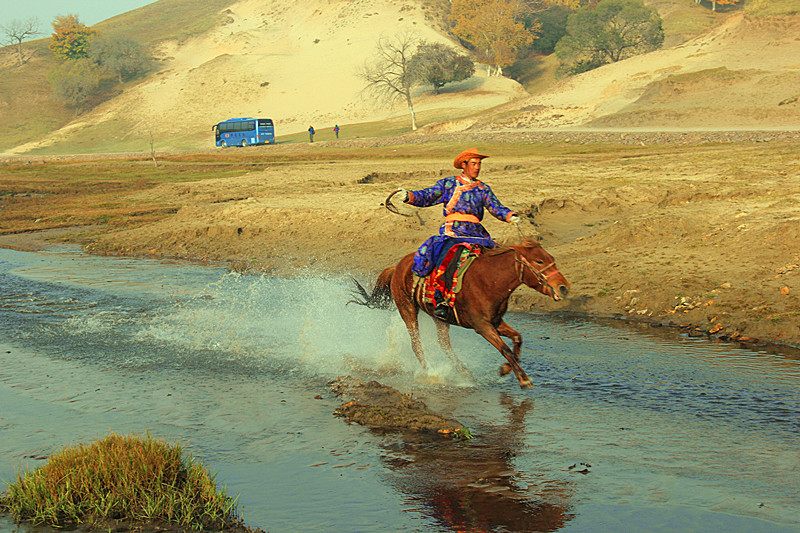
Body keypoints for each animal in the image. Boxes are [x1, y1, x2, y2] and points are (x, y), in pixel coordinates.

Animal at [354, 239, 572, 388]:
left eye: (552, 259)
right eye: (539, 261)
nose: (563, 288)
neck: (490, 280)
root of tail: (397, 266)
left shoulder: (496, 322)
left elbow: (517, 339)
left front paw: (505, 369)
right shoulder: (482, 326)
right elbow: (505, 349)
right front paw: (524, 378)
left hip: (438, 316)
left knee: (444, 343)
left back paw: (464, 371)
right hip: (407, 308)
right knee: (416, 344)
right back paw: (429, 373)